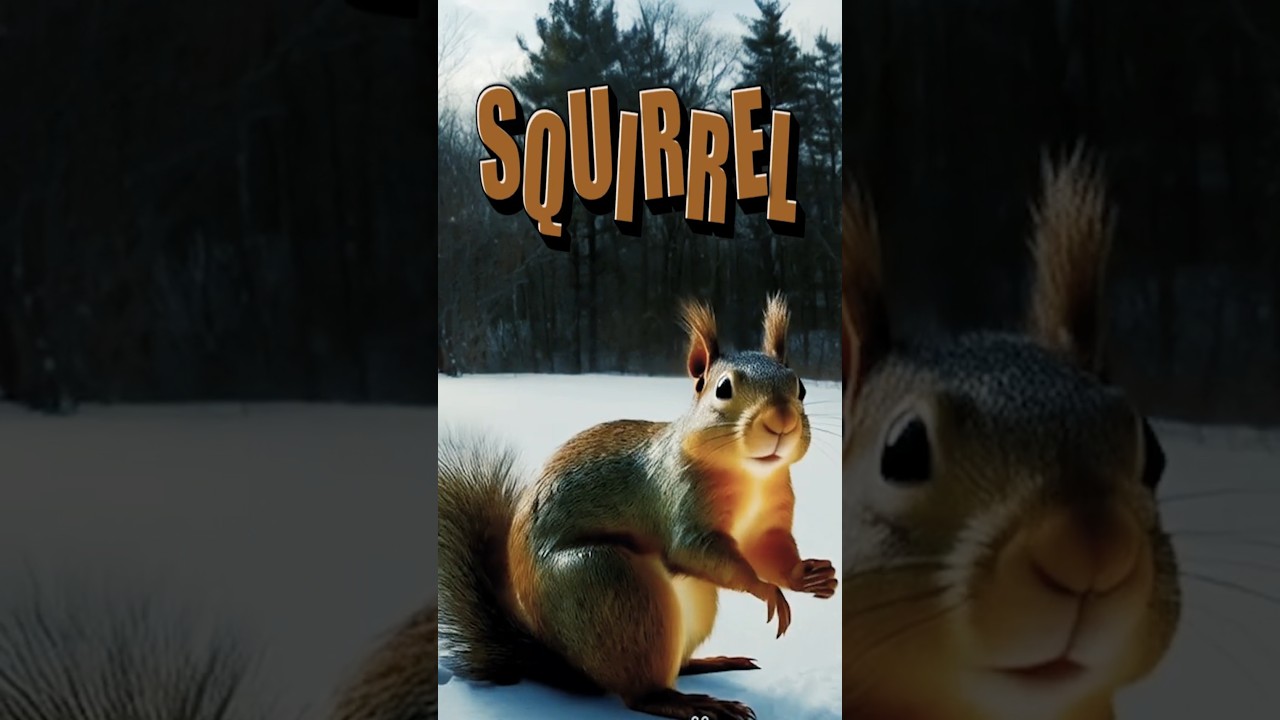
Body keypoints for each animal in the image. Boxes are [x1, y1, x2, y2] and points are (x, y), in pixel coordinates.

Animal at [435, 294, 838, 720]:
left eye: (800, 387)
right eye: (723, 388)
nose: (782, 419)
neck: (752, 477)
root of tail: (569, 665)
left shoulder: (769, 520)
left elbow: (769, 550)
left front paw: (809, 577)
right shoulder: (679, 500)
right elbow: (695, 551)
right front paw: (766, 591)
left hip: (690, 601)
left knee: (674, 664)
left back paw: (709, 663)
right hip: (613, 589)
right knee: (638, 693)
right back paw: (692, 701)